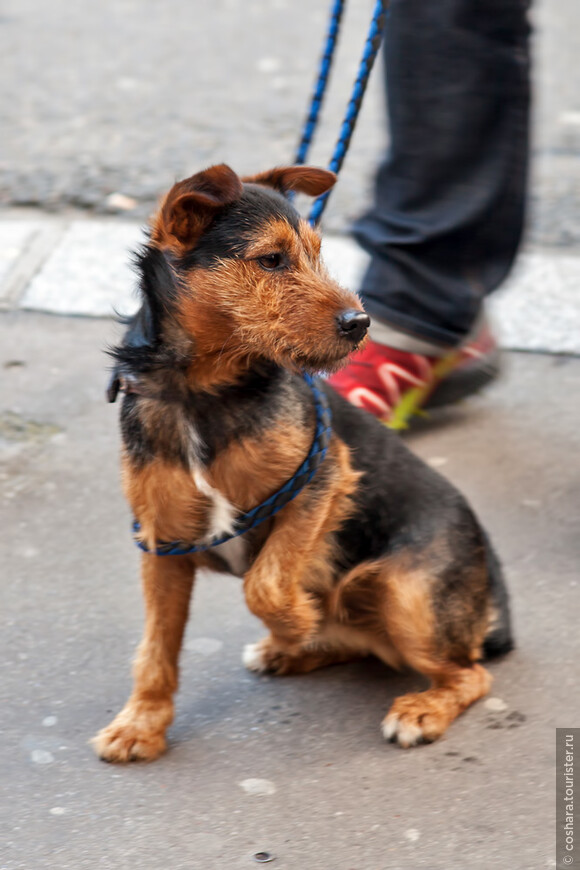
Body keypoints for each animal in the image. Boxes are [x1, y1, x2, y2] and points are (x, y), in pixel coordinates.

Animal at [93, 165, 516, 764]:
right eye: (272, 259)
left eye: (318, 254)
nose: (361, 323)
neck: (203, 391)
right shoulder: (162, 540)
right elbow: (156, 646)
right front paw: (141, 724)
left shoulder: (322, 475)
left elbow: (267, 582)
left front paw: (294, 620)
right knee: (372, 647)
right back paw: (295, 651)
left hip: (409, 591)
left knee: (470, 673)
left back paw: (420, 708)